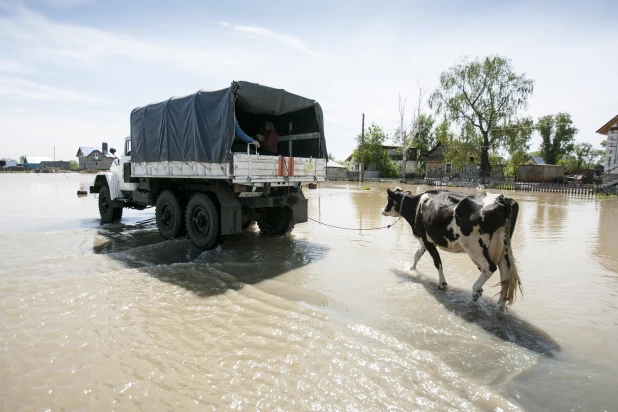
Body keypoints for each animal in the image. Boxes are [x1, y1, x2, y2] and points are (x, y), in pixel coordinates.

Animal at [380, 187, 520, 308]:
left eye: (388, 199)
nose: (382, 210)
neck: (416, 206)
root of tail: (502, 199)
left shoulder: (426, 240)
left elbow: (437, 262)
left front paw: (442, 284)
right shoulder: (425, 240)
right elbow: (417, 255)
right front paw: (411, 269)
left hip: (474, 246)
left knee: (489, 267)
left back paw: (475, 291)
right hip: (504, 248)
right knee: (505, 273)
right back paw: (500, 305)